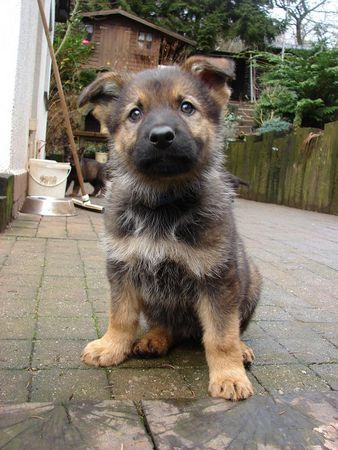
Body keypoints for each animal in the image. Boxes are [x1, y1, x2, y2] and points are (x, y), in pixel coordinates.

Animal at [78, 57, 262, 400]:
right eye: (135, 113)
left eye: (186, 107)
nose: (162, 136)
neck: (163, 202)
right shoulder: (122, 268)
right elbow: (121, 316)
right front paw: (111, 346)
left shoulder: (217, 280)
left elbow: (222, 335)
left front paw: (229, 375)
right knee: (168, 323)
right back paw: (155, 338)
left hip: (252, 281)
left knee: (233, 329)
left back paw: (241, 350)